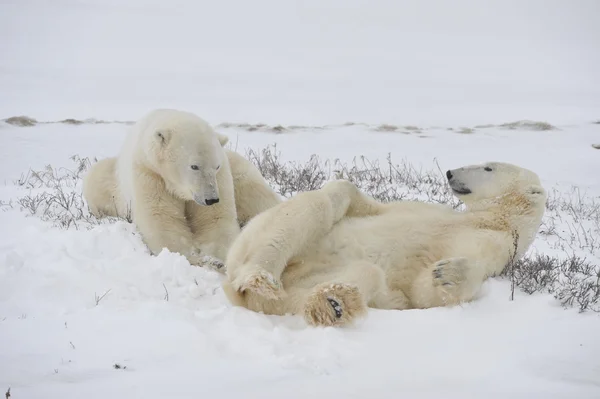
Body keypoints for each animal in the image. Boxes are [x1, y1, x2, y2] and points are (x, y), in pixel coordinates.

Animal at [82, 109, 282, 270]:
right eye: (194, 166)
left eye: (216, 166)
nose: (211, 199)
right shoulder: (150, 174)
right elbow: (163, 221)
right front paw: (198, 259)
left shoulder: (222, 176)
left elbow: (215, 222)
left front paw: (219, 259)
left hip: (238, 168)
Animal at [223, 162, 548, 328]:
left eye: (489, 168)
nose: (450, 172)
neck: (490, 220)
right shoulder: (425, 210)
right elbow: (363, 203)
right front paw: (338, 193)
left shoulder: (495, 247)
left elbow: (424, 292)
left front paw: (447, 272)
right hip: (256, 238)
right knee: (307, 212)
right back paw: (261, 275)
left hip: (301, 285)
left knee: (366, 275)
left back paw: (332, 302)